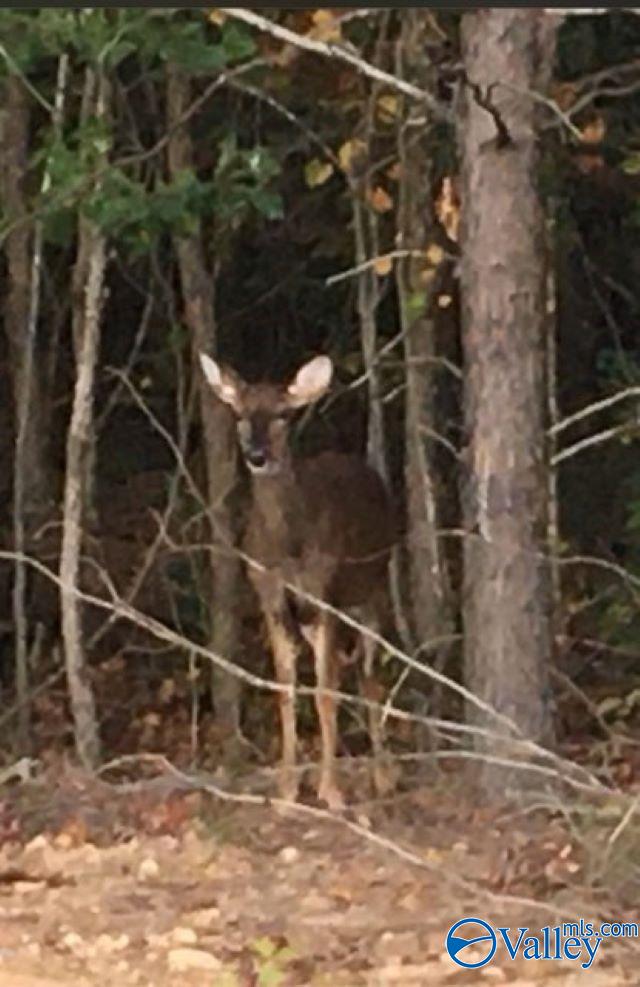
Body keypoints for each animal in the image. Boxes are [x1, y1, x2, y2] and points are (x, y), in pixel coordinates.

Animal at [200, 354, 396, 812]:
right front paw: (287, 790)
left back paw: (382, 776)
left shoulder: (324, 591)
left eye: (283, 415)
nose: (256, 456)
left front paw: (332, 790)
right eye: (240, 414)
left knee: (368, 675)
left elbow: (326, 690)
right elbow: (285, 687)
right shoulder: (268, 593)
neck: (287, 547)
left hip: (373, 589)